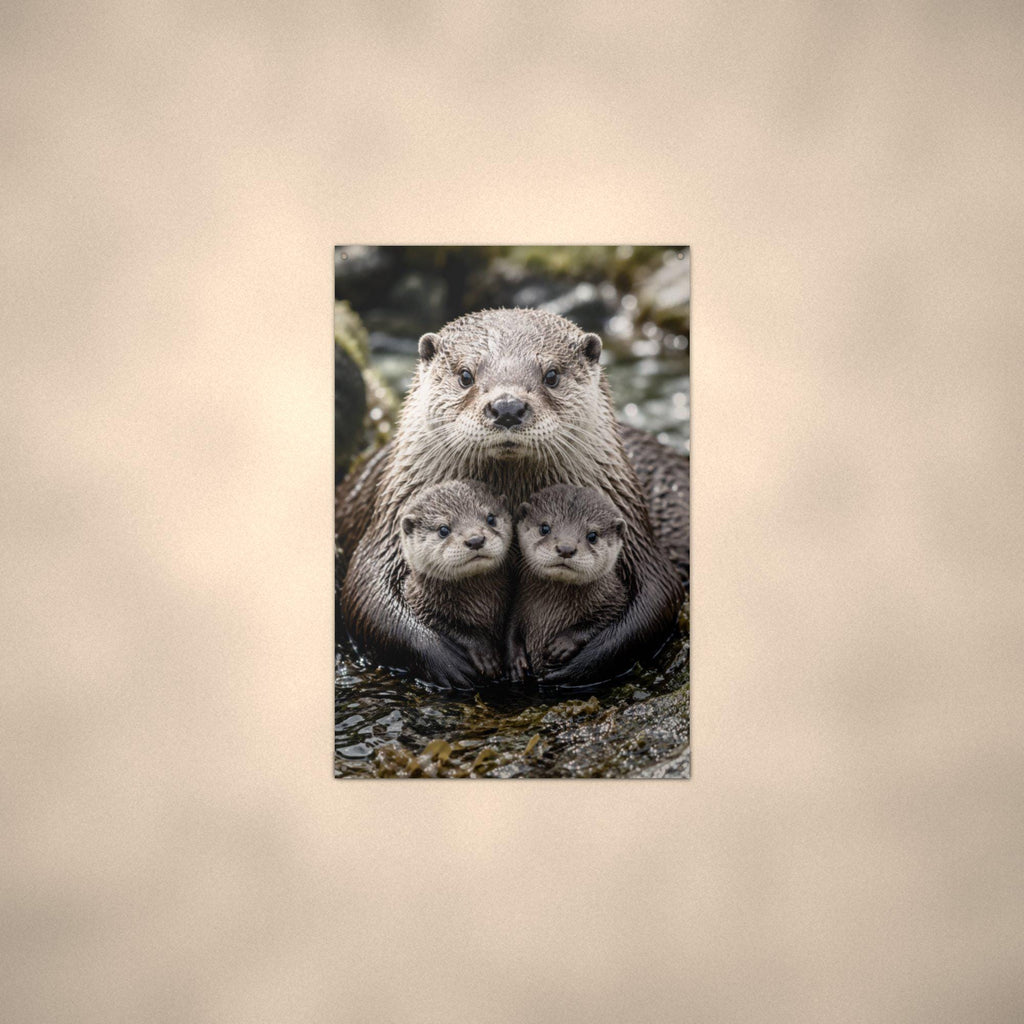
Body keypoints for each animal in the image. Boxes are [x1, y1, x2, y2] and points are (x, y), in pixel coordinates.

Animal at [399, 480, 512, 679]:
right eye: (443, 529)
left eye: (491, 518)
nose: (475, 540)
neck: (481, 605)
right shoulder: (421, 605)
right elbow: (451, 628)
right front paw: (484, 653)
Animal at [507, 485, 629, 681]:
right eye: (545, 528)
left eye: (592, 536)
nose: (566, 548)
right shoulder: (518, 601)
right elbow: (510, 629)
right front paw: (515, 660)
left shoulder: (616, 597)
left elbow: (602, 619)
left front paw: (563, 644)